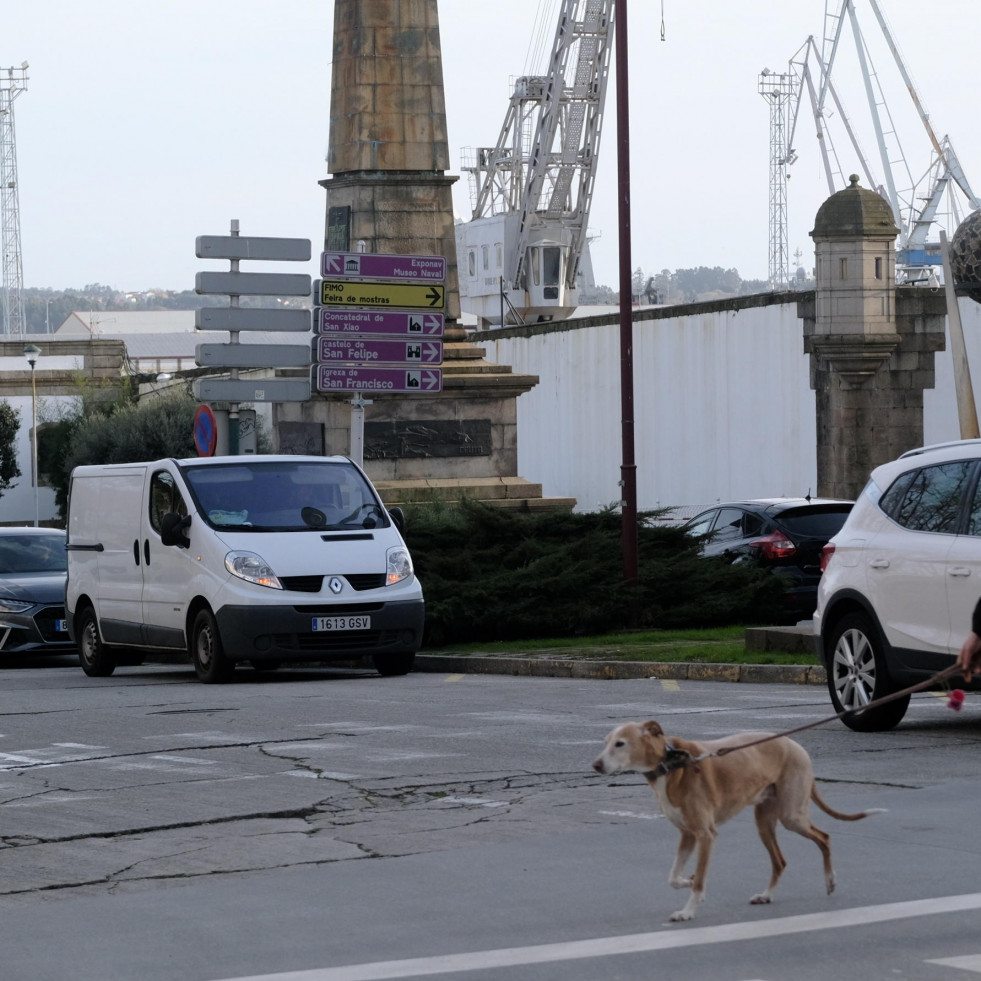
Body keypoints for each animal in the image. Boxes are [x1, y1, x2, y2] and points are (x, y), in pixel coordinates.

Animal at [592, 720, 884, 920]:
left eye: (620, 743)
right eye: (606, 741)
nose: (595, 765)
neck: (671, 766)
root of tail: (797, 746)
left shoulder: (705, 834)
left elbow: (699, 880)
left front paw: (688, 911)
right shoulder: (688, 835)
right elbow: (673, 877)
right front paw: (688, 879)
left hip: (792, 816)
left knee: (824, 837)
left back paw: (830, 881)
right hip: (764, 823)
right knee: (780, 861)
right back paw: (766, 895)